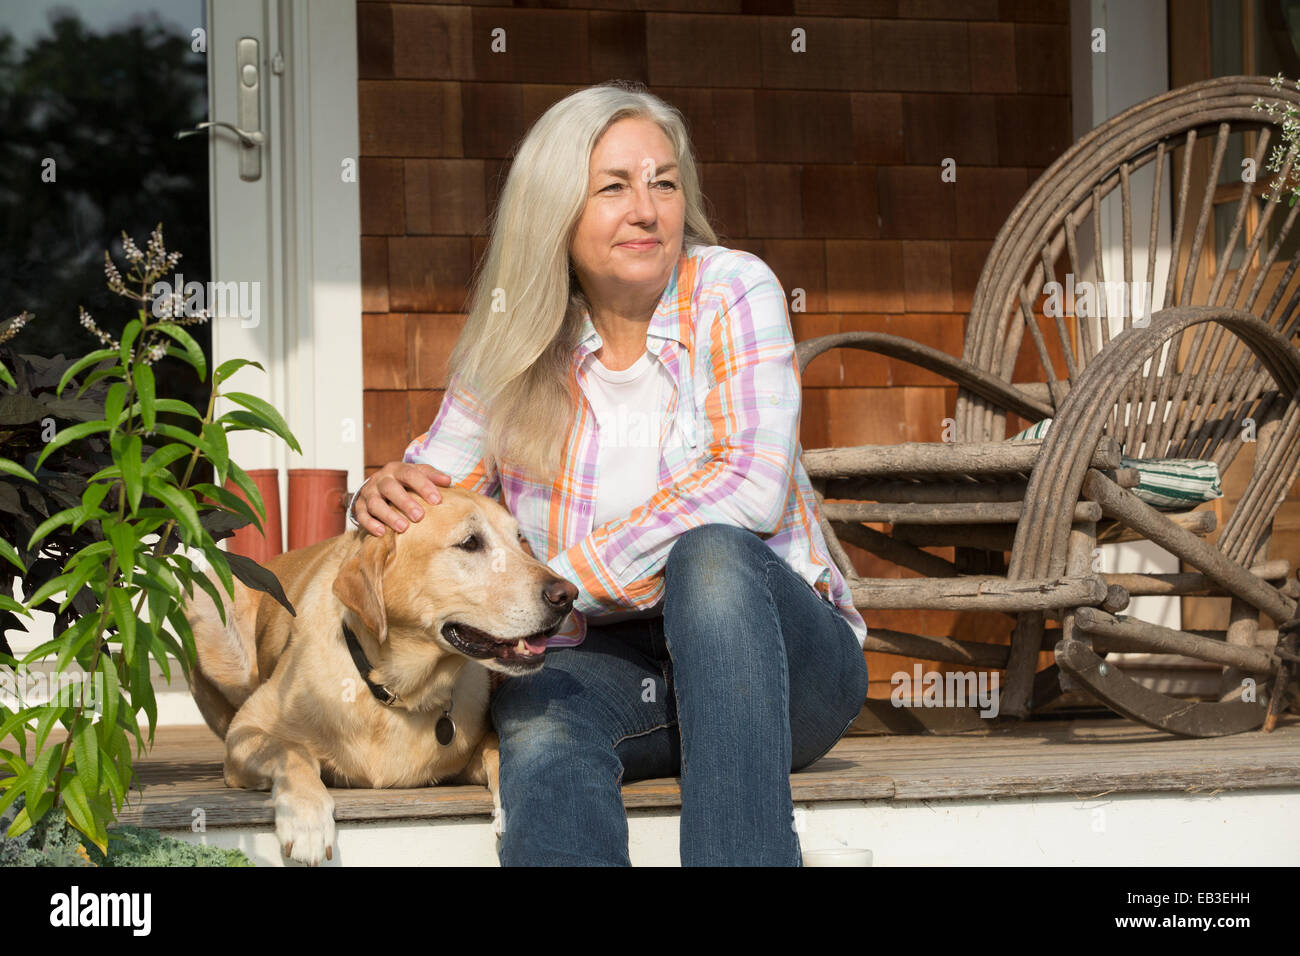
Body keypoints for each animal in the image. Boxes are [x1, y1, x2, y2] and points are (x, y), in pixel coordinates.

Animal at [182, 486, 574, 868]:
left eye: (520, 540)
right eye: (470, 543)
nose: (567, 596)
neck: (393, 690)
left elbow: (497, 753)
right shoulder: (246, 730)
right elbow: (293, 751)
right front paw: (306, 821)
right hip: (201, 591)